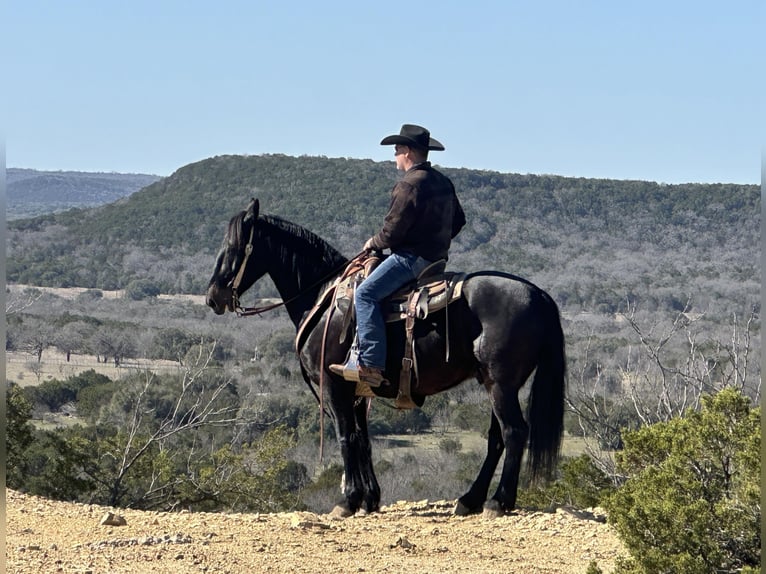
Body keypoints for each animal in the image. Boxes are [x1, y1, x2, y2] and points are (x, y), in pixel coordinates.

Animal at [207, 200, 568, 520]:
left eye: (234, 246)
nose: (213, 297)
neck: (321, 298)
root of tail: (539, 294)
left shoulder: (334, 387)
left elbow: (345, 437)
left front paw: (348, 501)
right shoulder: (357, 391)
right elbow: (363, 440)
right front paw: (369, 498)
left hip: (501, 384)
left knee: (514, 432)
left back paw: (498, 502)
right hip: (497, 384)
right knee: (497, 438)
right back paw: (470, 500)